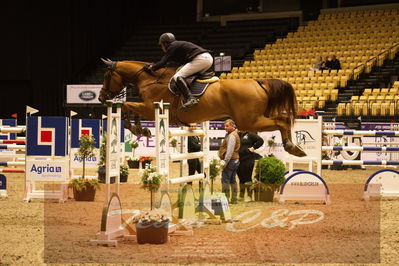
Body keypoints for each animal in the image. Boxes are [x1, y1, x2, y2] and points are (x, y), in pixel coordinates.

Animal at [99, 59, 306, 157]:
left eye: (106, 76)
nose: (101, 97)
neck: (149, 79)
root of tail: (258, 82)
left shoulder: (151, 108)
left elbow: (128, 105)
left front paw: (137, 129)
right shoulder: (150, 108)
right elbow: (131, 108)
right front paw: (142, 130)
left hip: (249, 121)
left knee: (282, 121)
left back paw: (291, 147)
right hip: (252, 119)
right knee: (283, 120)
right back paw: (295, 148)